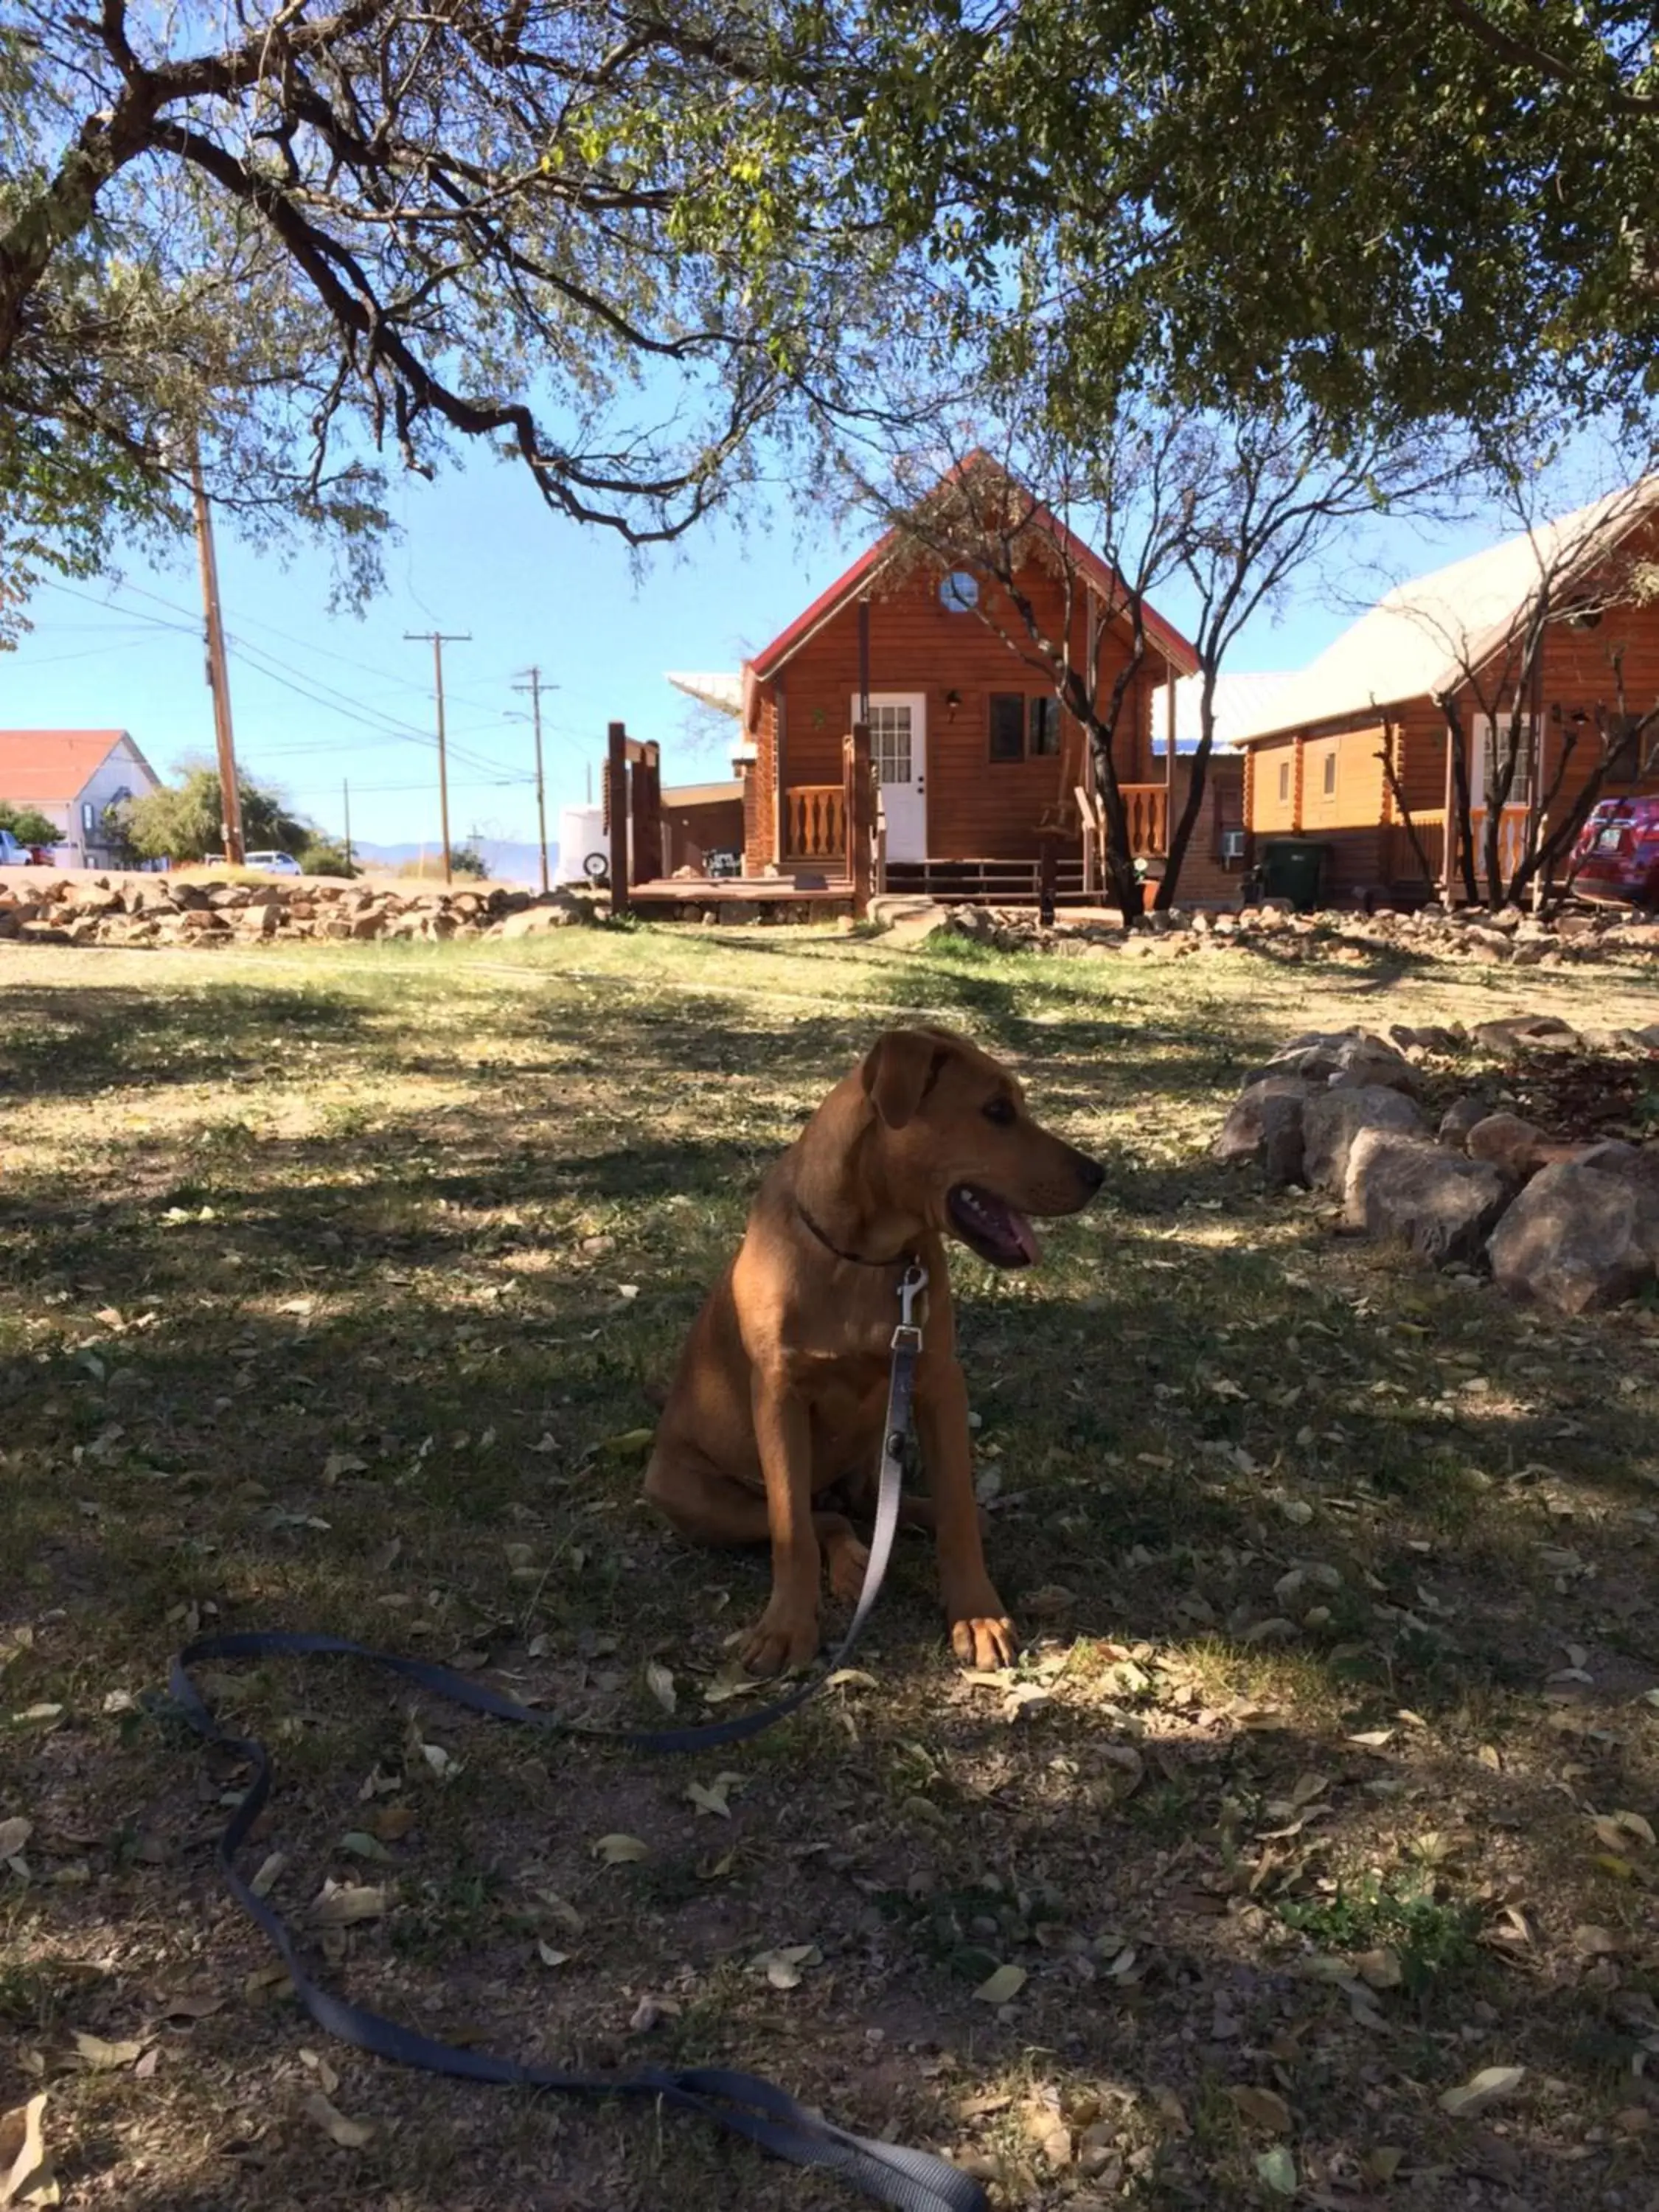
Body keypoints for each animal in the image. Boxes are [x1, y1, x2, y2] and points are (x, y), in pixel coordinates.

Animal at [646, 1026, 1106, 1663]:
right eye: (997, 1111)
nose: (1099, 1173)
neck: (865, 1256)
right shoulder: (780, 1395)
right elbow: (793, 1528)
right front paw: (787, 1626)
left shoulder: (938, 1381)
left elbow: (959, 1510)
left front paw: (976, 1613)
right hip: (695, 1496)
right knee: (822, 1517)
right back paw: (850, 1564)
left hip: (877, 1442)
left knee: (863, 1505)